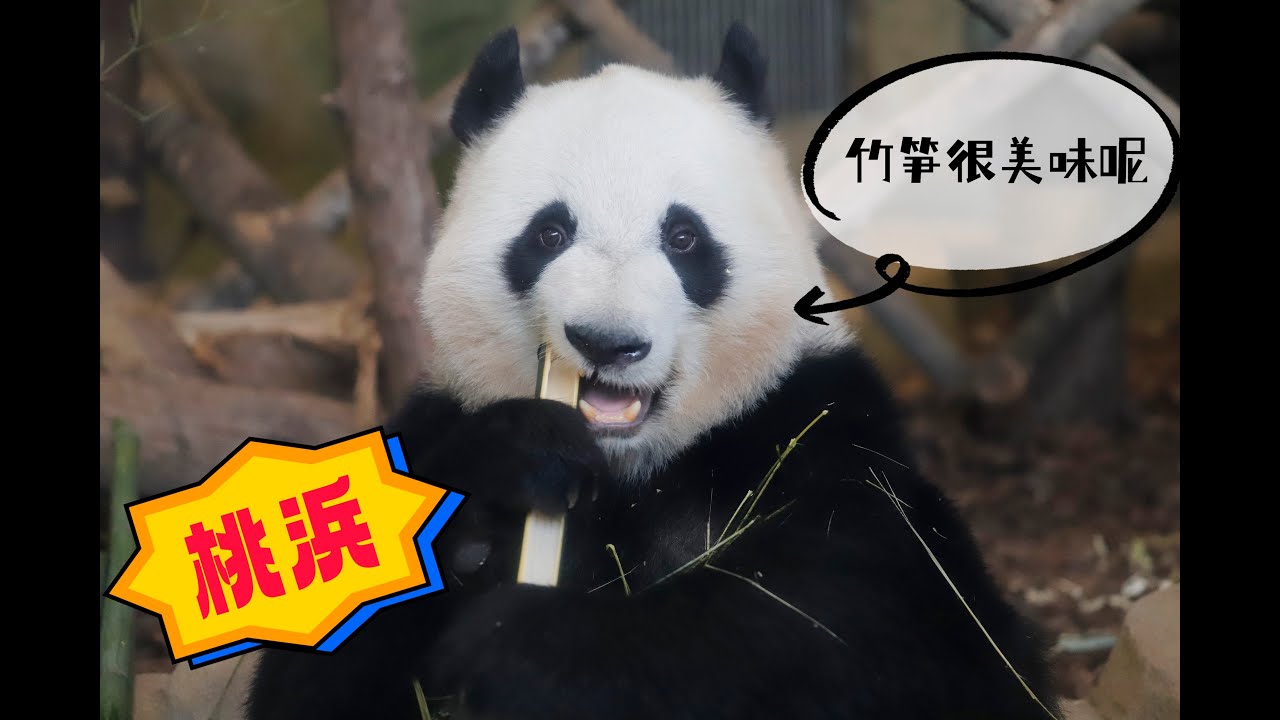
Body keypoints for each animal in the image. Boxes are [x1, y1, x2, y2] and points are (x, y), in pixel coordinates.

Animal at [248, 23, 1059, 720]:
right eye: (549, 233)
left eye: (684, 238)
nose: (606, 341)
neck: (634, 471)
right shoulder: (437, 418)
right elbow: (315, 676)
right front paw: (515, 463)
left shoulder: (828, 442)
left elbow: (836, 626)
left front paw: (520, 647)